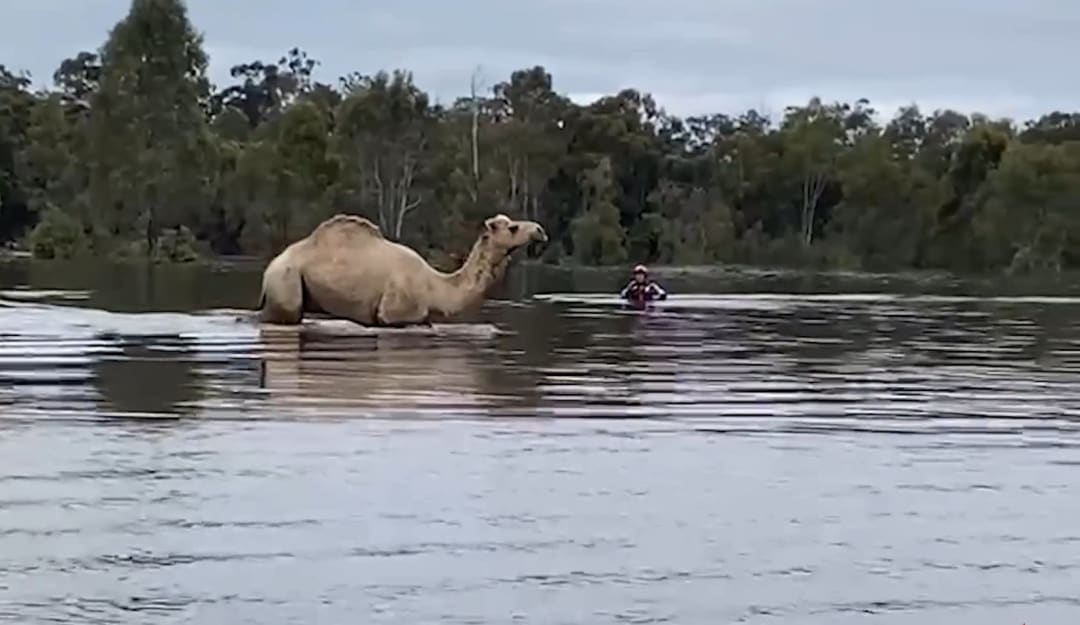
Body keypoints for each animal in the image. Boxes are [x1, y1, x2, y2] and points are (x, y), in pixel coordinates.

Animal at [253, 212, 548, 328]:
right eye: (513, 228)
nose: (540, 230)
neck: (435, 287)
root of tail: (270, 266)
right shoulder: (396, 315)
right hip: (286, 282)